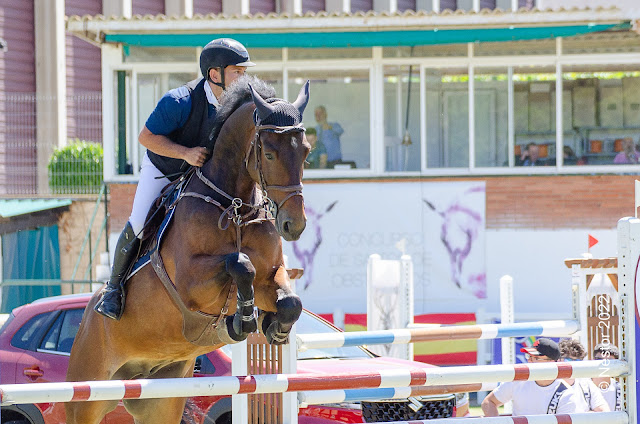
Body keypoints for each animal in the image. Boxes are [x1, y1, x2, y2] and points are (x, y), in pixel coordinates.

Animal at [66, 76, 312, 424]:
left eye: (305, 152)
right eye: (270, 154)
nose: (294, 225)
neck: (234, 207)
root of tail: (86, 318)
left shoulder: (272, 276)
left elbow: (290, 300)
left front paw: (274, 327)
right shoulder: (190, 283)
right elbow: (240, 263)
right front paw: (242, 320)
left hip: (161, 399)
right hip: (85, 398)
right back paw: (111, 300)